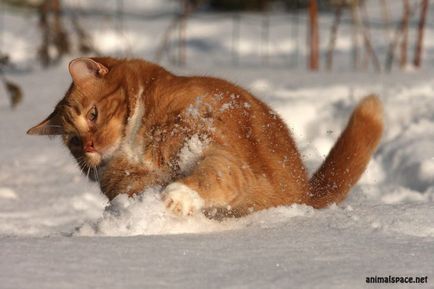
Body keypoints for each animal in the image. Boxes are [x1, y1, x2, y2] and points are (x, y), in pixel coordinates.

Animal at [27, 57, 384, 217]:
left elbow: (212, 176)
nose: (89, 145)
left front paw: (177, 196)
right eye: (73, 143)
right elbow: (136, 187)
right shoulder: (124, 184)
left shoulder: (221, 153)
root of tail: (307, 193)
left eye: (93, 115)